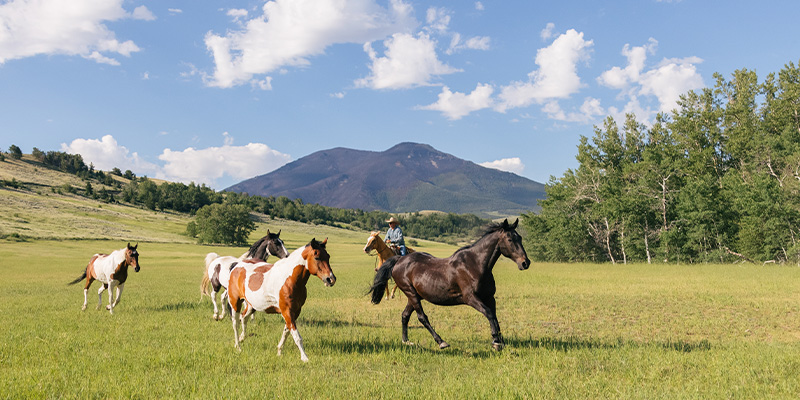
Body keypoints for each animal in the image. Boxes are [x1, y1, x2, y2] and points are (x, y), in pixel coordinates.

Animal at [368, 219, 530, 351]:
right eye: (509, 239)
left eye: (520, 238)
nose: (525, 263)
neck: (475, 264)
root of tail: (399, 260)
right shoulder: (471, 298)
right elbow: (489, 314)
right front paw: (496, 342)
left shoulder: (490, 298)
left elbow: (494, 316)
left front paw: (500, 341)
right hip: (411, 294)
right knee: (422, 317)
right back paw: (441, 342)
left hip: (414, 296)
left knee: (405, 315)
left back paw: (406, 341)